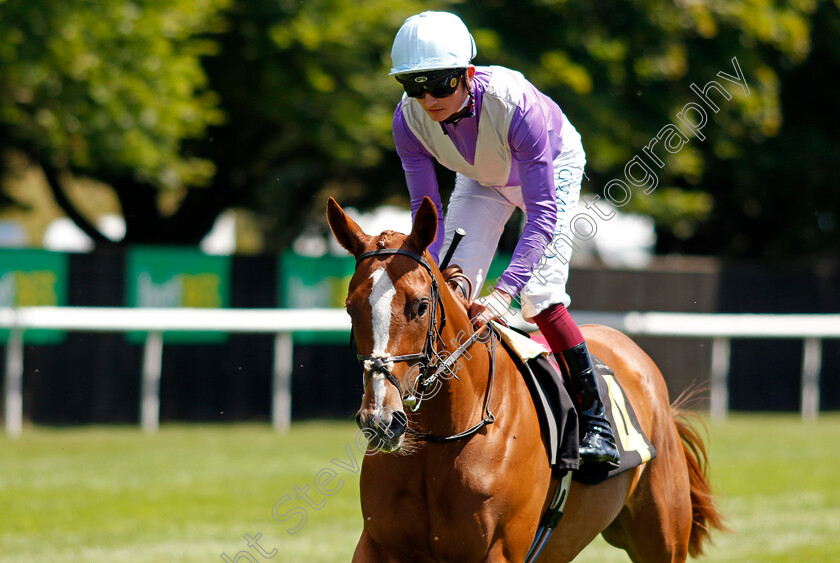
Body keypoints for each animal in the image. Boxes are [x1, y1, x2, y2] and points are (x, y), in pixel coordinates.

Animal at [326, 196, 720, 560]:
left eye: (421, 305)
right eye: (350, 308)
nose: (381, 419)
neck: (441, 438)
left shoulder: (500, 550)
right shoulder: (378, 544)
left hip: (662, 537)